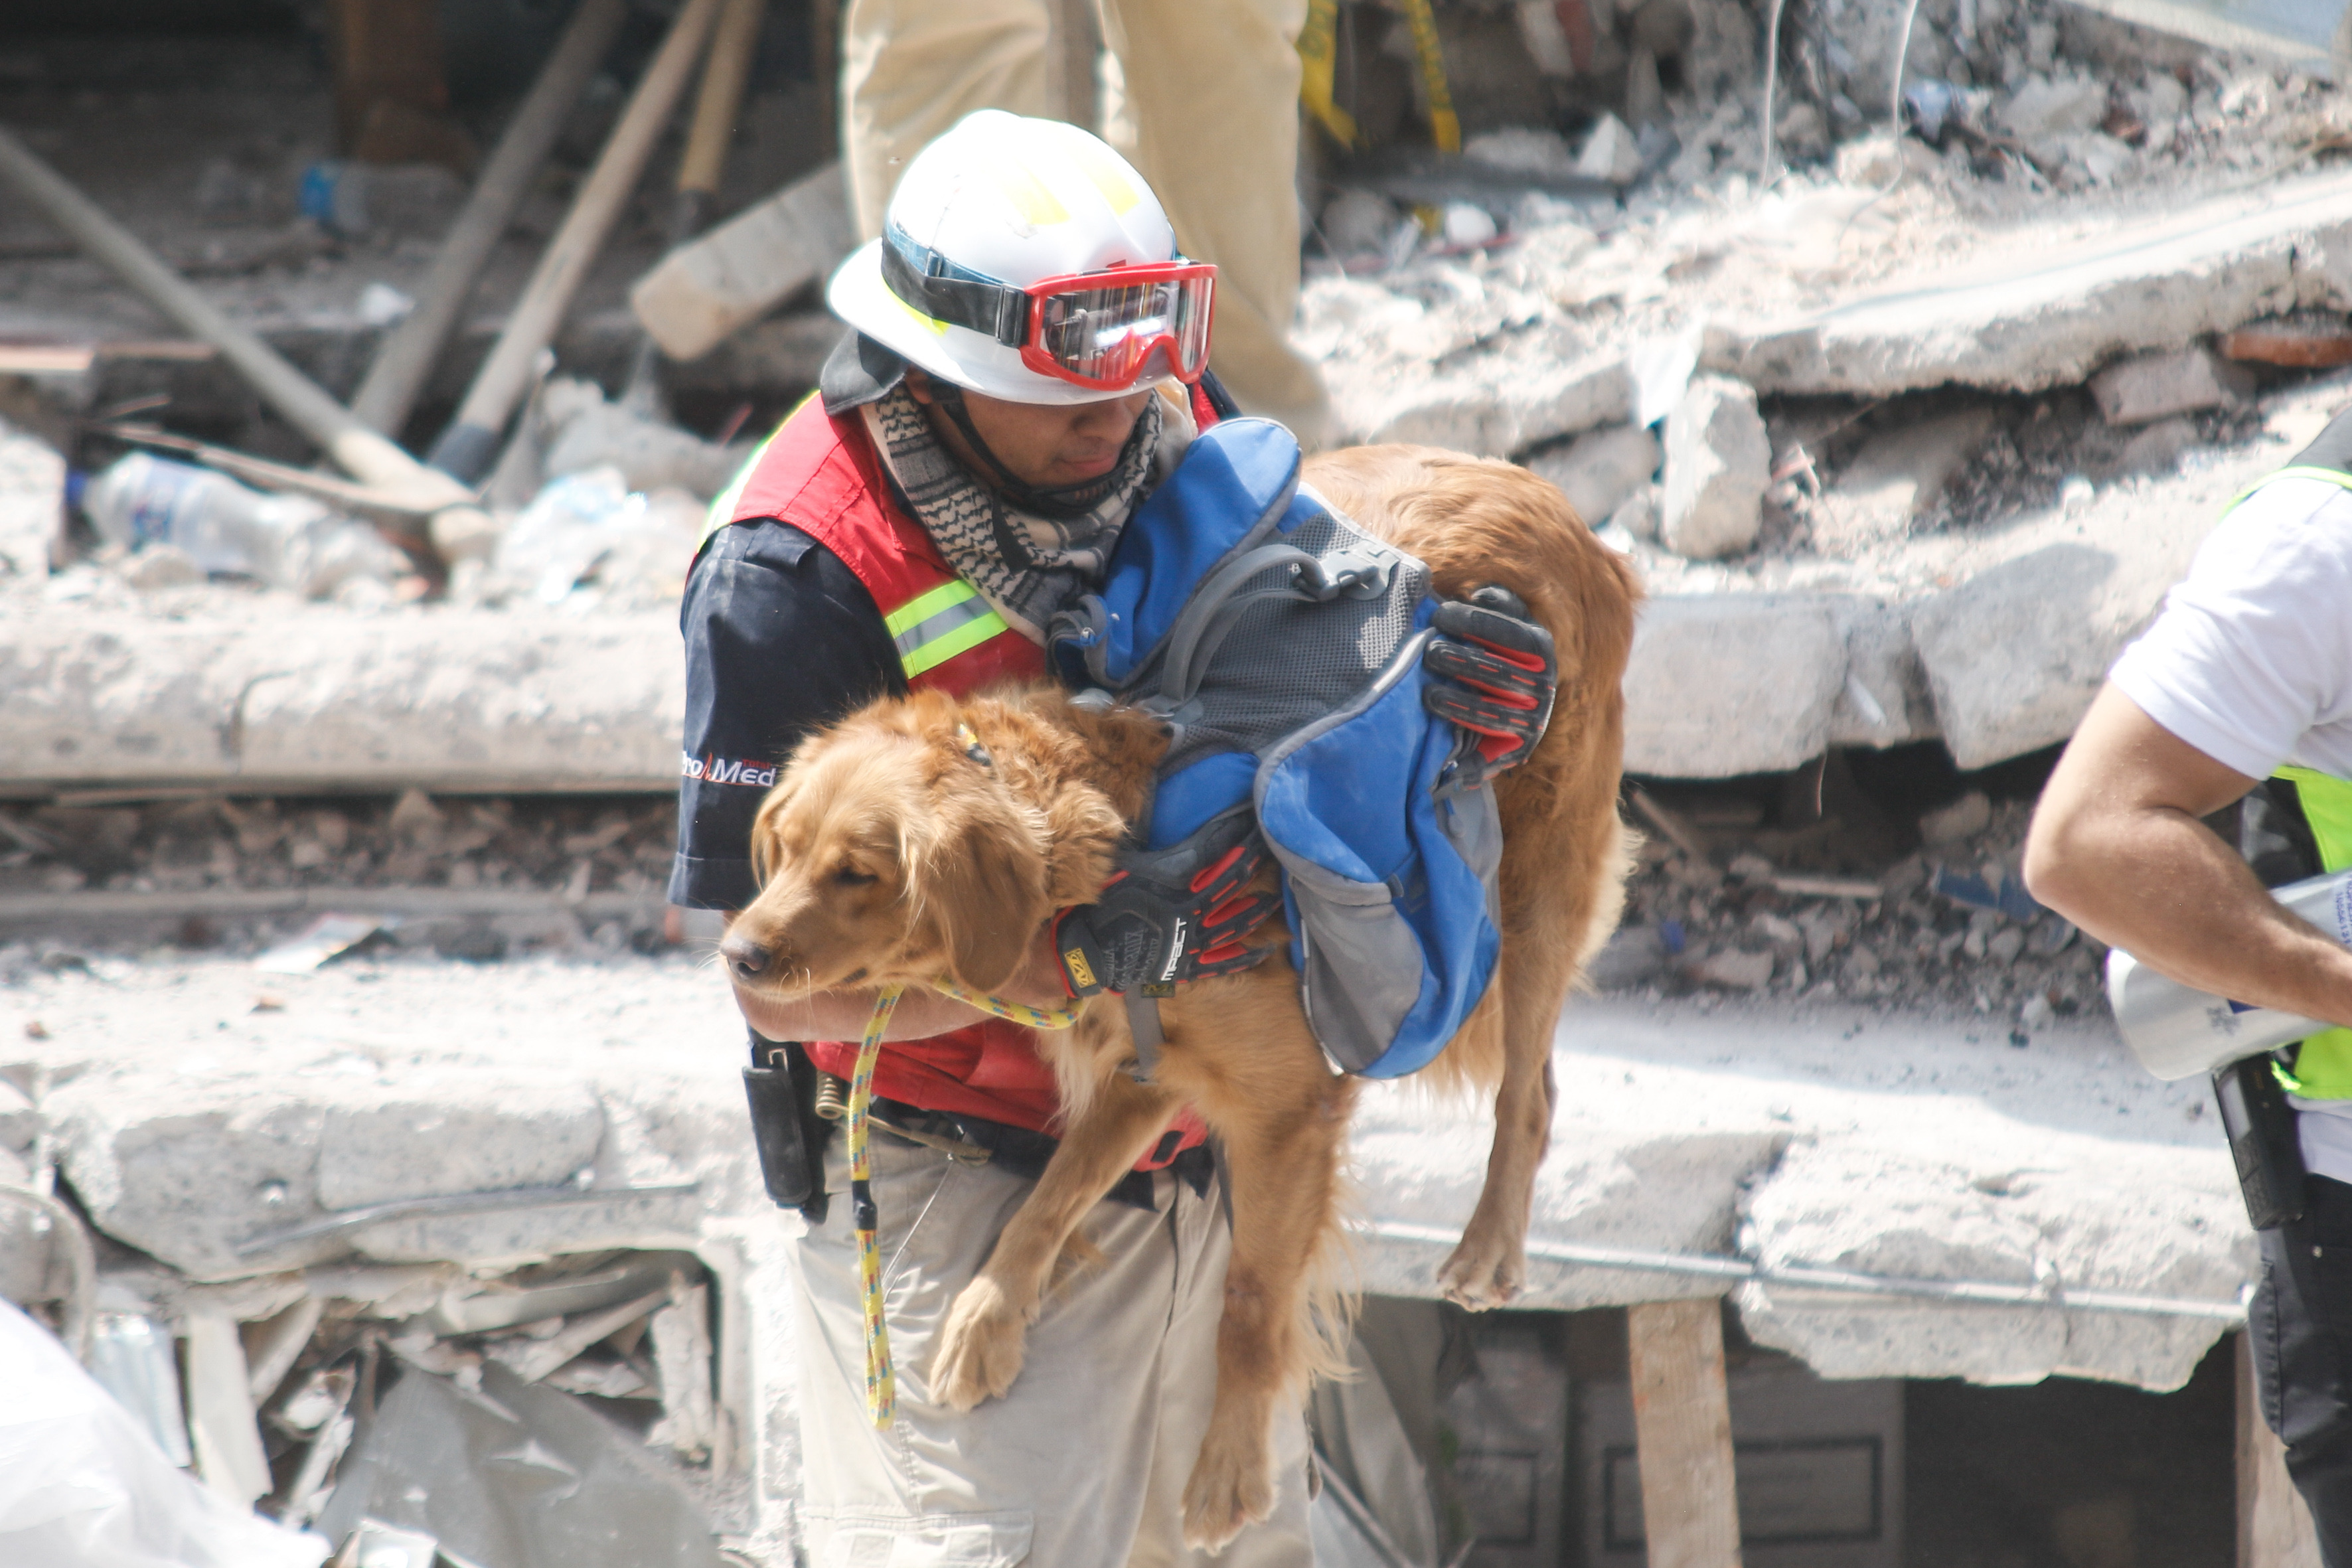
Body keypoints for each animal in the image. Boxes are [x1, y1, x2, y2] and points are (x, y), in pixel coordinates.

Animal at [729, 446, 1636, 1551]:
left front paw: (1228, 1471)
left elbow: (1249, 1300)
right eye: (781, 850)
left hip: (1540, 882)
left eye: (855, 873)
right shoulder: (1143, 1061)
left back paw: (1487, 1246)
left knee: (1529, 1089)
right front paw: (987, 1318)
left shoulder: (1287, 1107)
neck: (1120, 849)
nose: (737, 953)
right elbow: (1048, 1193)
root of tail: (1540, 492)